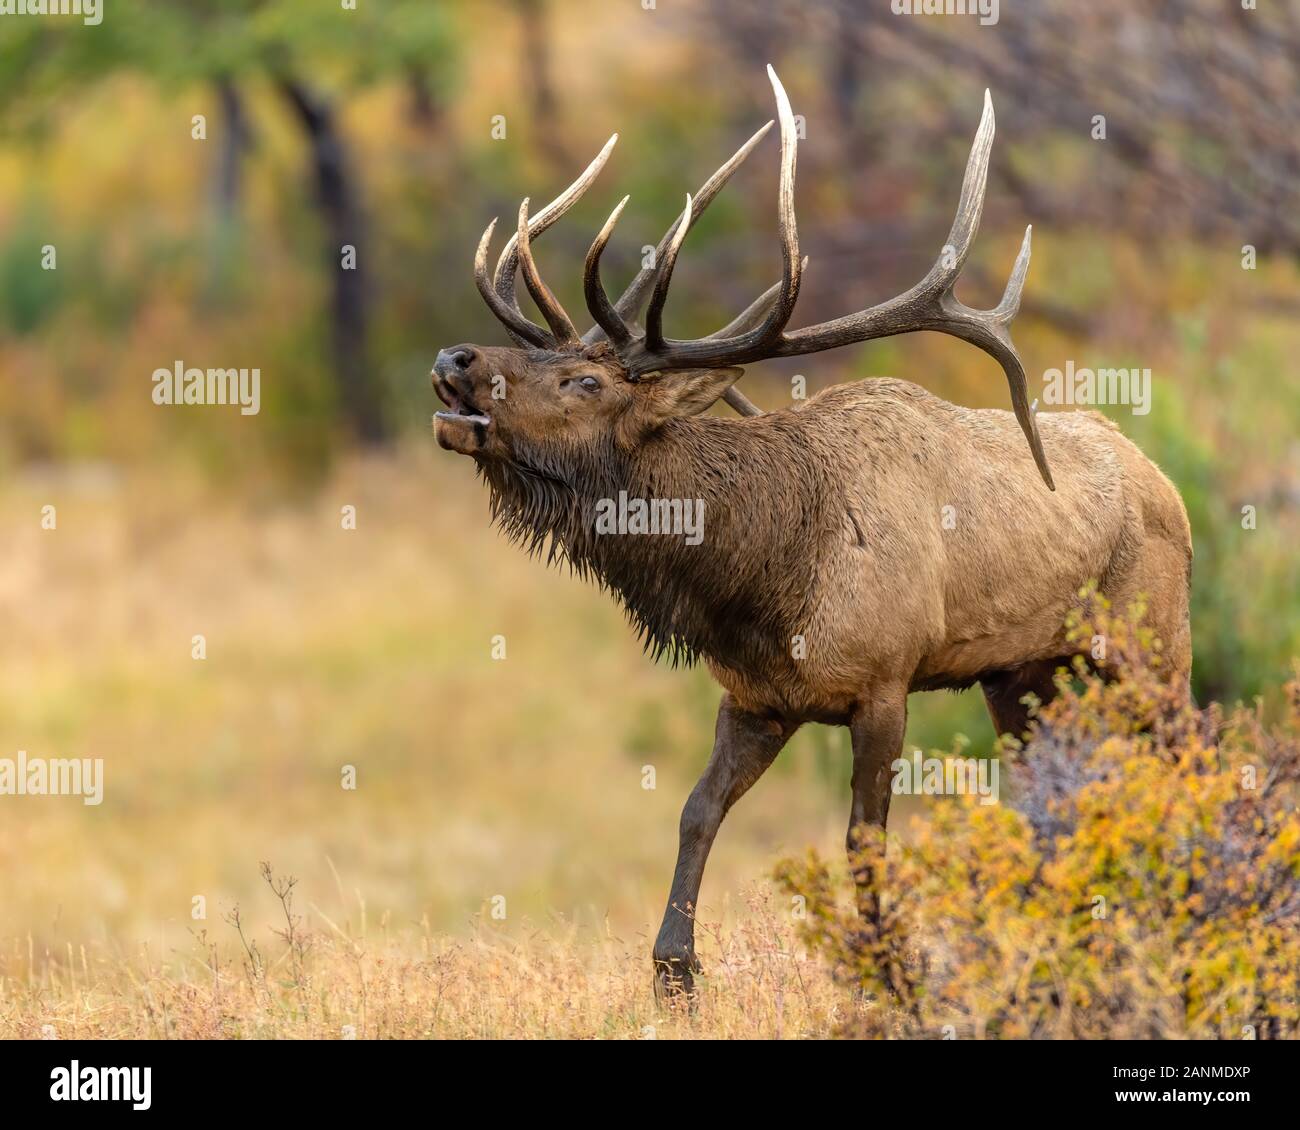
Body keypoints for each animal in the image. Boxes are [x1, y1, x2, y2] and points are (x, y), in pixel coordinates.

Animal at [431, 68, 1192, 992]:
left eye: (585, 381)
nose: (456, 359)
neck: (763, 583)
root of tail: (1166, 484)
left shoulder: (885, 681)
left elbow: (864, 838)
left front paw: (889, 972)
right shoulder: (755, 696)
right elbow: (696, 811)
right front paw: (675, 972)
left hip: (1155, 647)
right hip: (1022, 673)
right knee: (1054, 795)